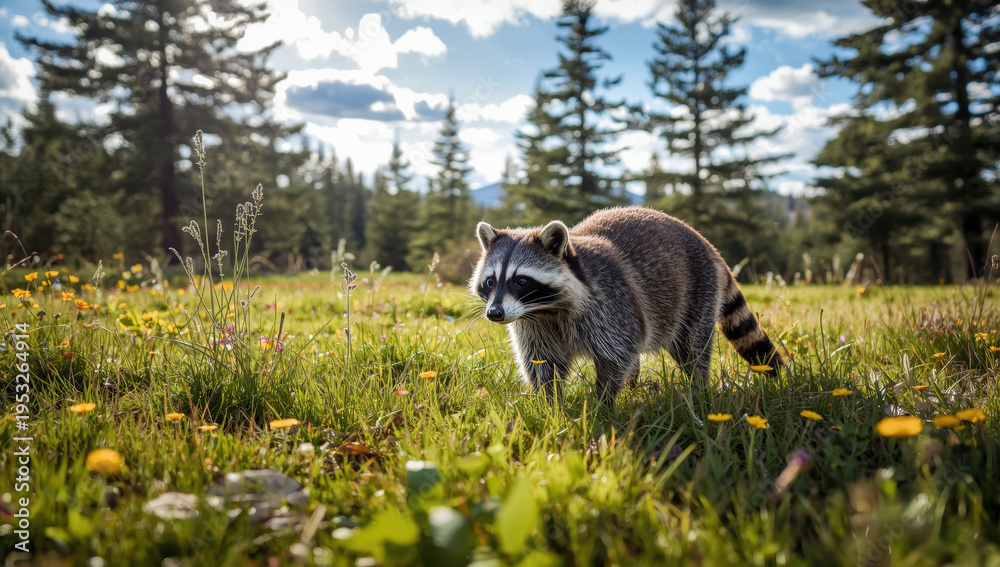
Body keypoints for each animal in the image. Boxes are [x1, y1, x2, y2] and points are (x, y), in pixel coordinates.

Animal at [470, 206, 782, 402]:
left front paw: (603, 404)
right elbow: (542, 364)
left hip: (698, 290)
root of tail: (709, 246)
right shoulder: (534, 325)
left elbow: (616, 356)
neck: (546, 310)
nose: (495, 313)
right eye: (490, 282)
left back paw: (698, 386)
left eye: (521, 281)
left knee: (692, 346)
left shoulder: (611, 305)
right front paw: (550, 406)